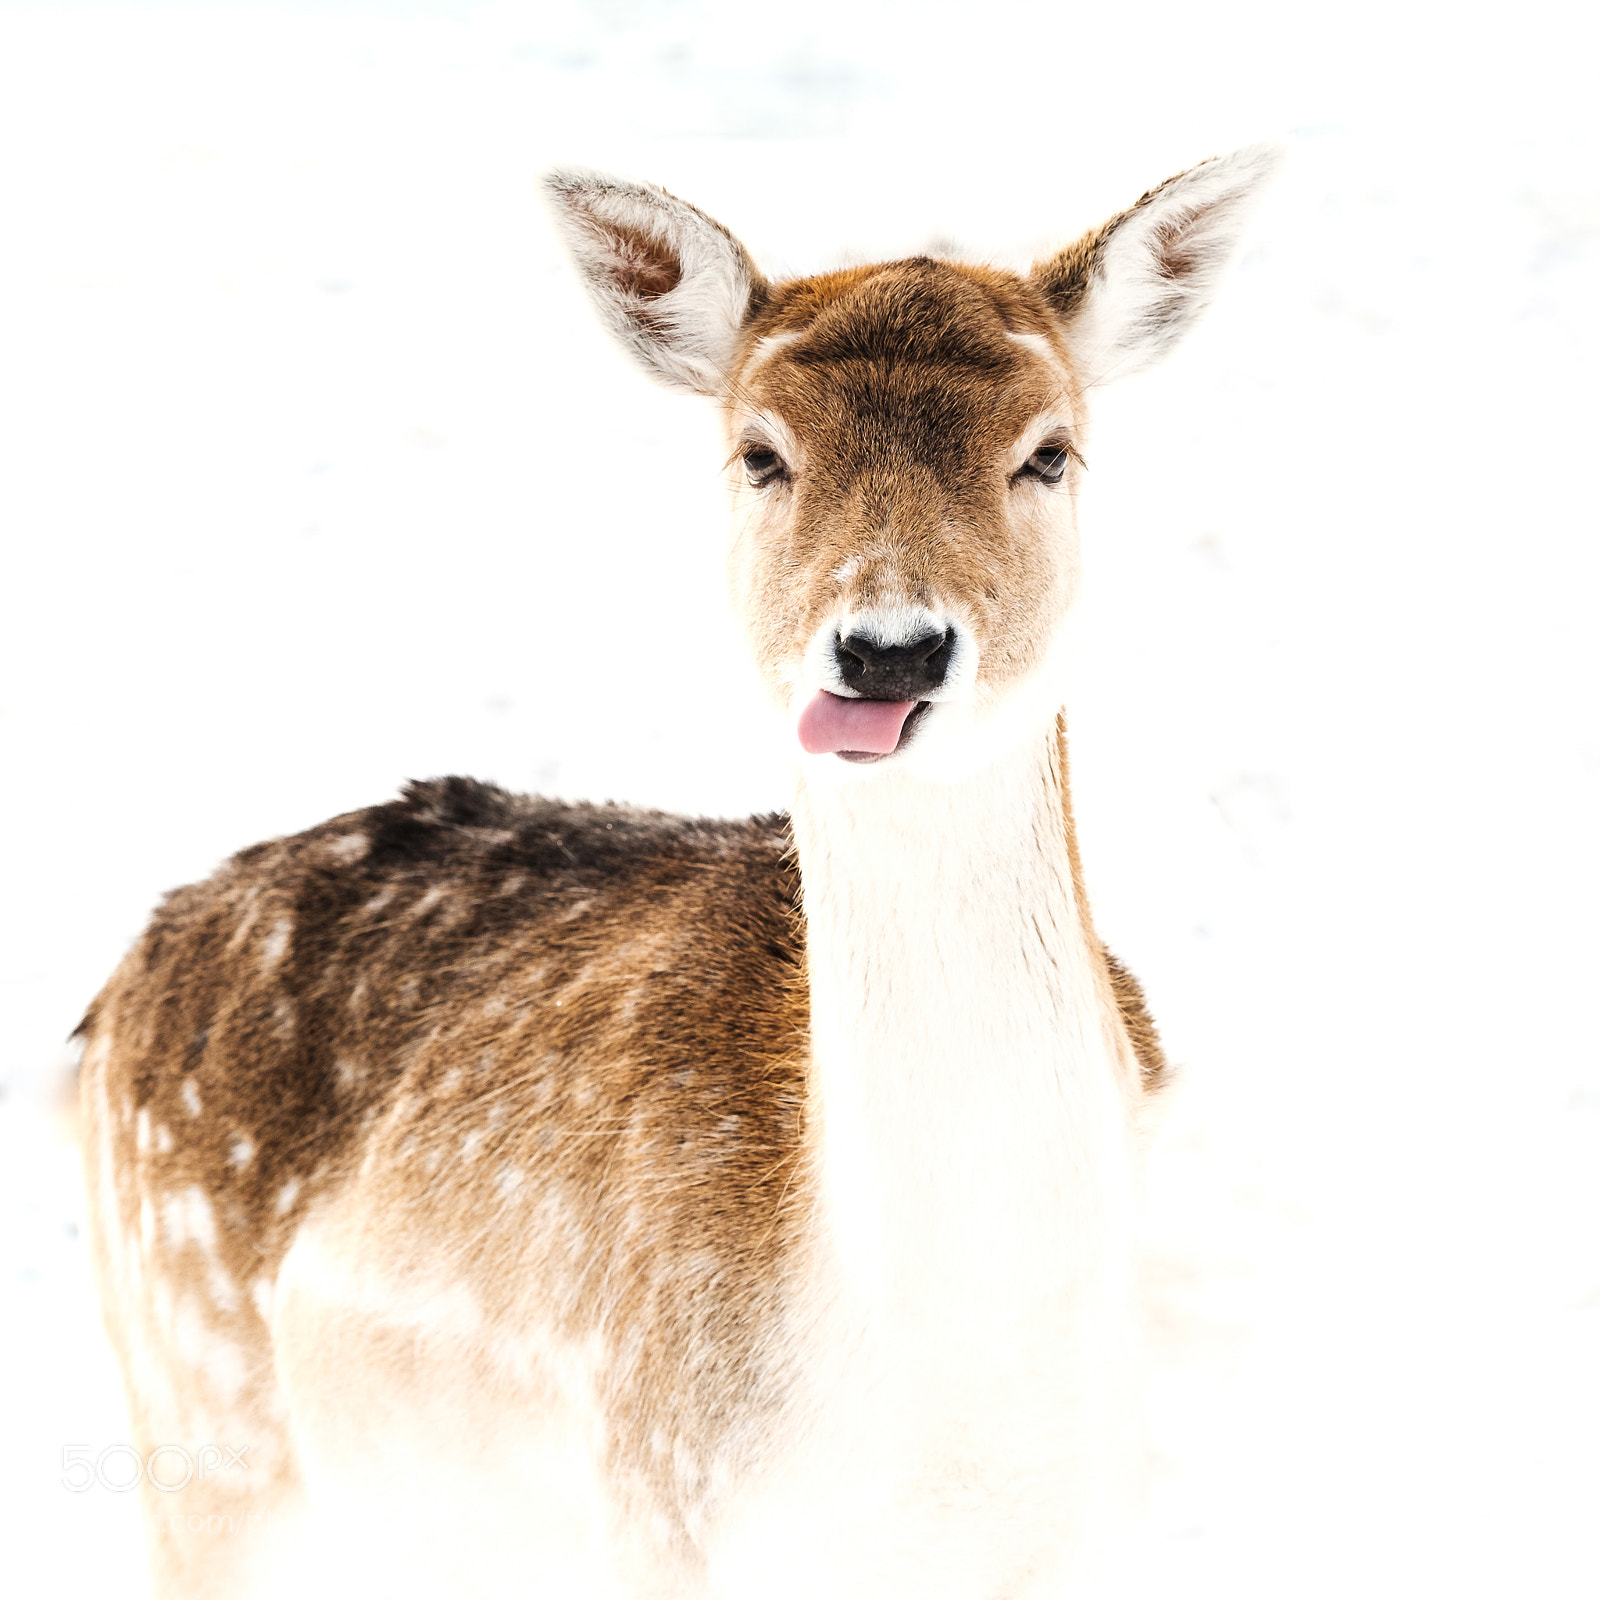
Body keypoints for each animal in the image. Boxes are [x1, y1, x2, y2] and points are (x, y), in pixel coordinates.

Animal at [76, 145, 1280, 1600]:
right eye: (760, 453)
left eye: (1049, 451)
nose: (887, 649)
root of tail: (102, 1009)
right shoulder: (658, 1489)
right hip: (202, 1414)